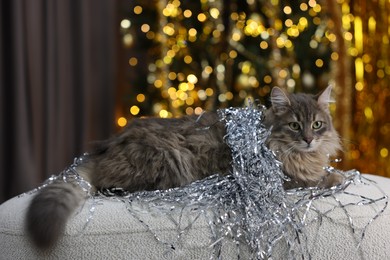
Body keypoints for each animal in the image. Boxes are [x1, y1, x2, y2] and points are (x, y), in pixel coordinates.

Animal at [25, 86, 342, 249]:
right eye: (295, 126)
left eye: (317, 124)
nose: (309, 139)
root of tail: (106, 147)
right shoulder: (281, 180)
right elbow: (318, 179)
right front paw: (337, 176)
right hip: (169, 159)